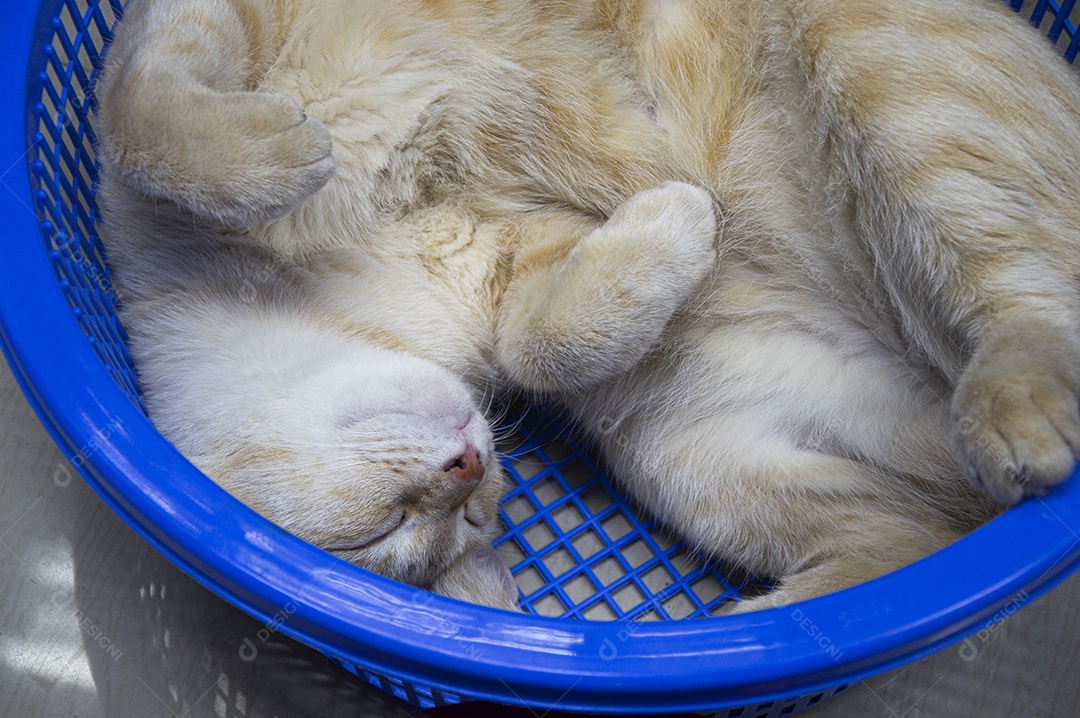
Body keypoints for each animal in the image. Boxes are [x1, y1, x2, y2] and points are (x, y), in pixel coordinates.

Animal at [92, 0, 1080, 613]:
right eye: (402, 536)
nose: (466, 471)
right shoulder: (519, 253)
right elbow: (551, 339)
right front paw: (684, 220)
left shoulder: (201, 24)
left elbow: (152, 118)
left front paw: (281, 154)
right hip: (700, 464)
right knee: (899, 554)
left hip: (899, 90)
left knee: (1026, 310)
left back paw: (1017, 416)